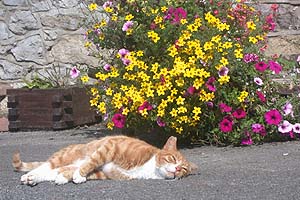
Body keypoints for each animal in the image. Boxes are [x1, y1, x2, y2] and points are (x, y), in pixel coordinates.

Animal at [12, 134, 198, 186]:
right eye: (172, 158)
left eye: (183, 170)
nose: (176, 169)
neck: (150, 167)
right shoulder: (111, 147)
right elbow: (92, 161)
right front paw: (78, 175)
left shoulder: (105, 173)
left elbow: (84, 171)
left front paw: (71, 177)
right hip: (66, 155)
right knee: (46, 166)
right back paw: (29, 176)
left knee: (53, 171)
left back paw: (34, 179)